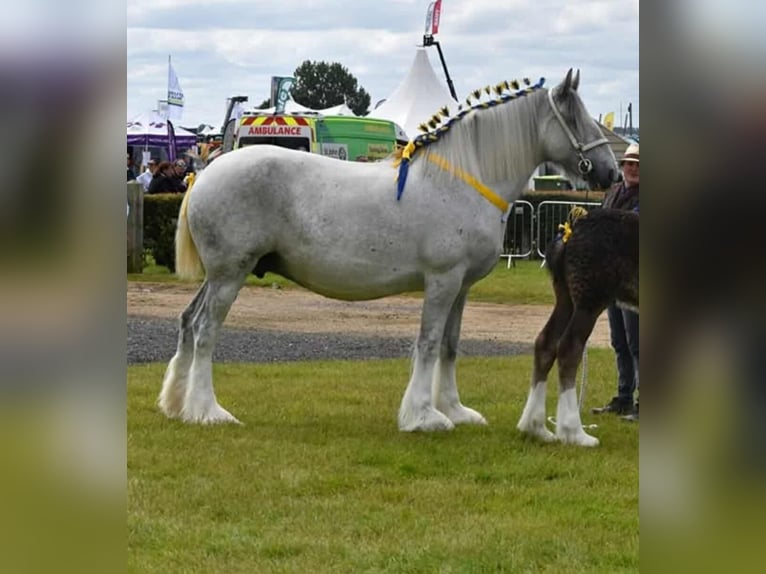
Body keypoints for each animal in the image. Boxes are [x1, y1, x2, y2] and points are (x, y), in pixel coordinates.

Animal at [158, 69, 618, 435]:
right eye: (575, 116)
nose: (611, 171)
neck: (461, 181)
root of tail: (206, 172)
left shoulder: (461, 286)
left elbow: (450, 345)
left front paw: (455, 411)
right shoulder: (442, 280)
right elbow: (428, 343)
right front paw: (424, 417)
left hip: (218, 276)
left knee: (187, 321)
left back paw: (177, 405)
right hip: (230, 275)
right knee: (205, 330)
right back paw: (208, 411)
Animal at [517, 208, 639, 446]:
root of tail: (571, 233)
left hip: (566, 299)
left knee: (545, 343)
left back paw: (536, 427)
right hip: (589, 301)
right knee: (569, 348)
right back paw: (574, 432)